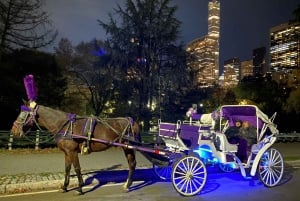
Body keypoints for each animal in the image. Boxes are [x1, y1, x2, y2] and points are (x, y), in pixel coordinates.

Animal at [9, 100, 140, 195]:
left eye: (24, 115)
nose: (14, 131)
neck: (64, 125)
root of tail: (132, 121)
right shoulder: (67, 152)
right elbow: (67, 168)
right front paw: (64, 187)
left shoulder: (72, 152)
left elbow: (77, 168)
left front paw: (80, 188)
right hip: (127, 148)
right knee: (131, 164)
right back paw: (127, 185)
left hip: (128, 147)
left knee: (132, 163)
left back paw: (127, 185)